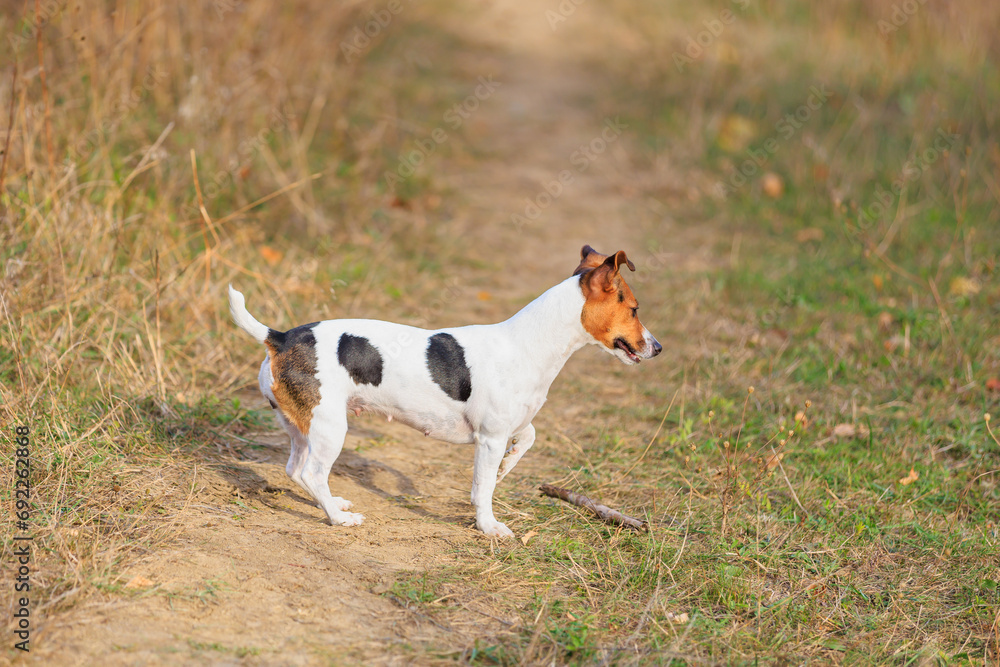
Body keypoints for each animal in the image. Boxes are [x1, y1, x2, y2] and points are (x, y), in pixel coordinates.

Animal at [229, 245, 660, 536]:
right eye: (635, 309)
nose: (657, 348)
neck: (530, 343)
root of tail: (280, 337)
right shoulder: (490, 437)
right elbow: (483, 488)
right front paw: (489, 526)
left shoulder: (512, 425)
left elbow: (527, 439)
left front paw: (507, 467)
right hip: (330, 427)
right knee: (313, 473)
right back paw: (338, 517)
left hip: (303, 426)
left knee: (296, 470)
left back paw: (333, 503)